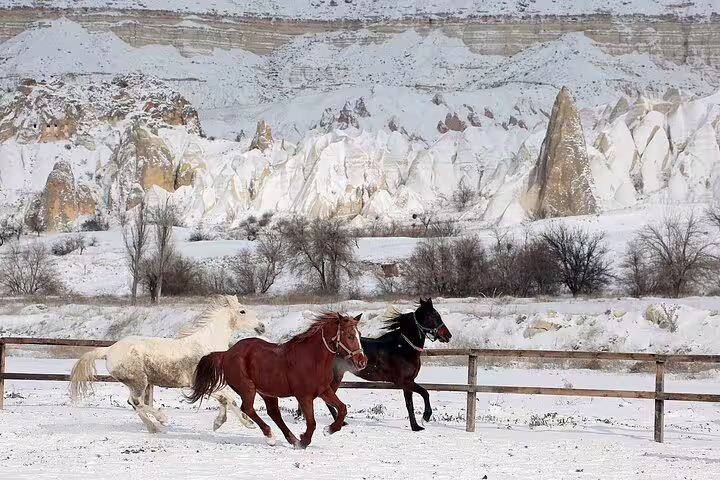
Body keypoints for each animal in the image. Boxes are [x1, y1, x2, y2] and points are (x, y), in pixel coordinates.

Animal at [69, 295, 265, 433]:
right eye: (242, 311)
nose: (262, 326)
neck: (207, 345)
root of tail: (109, 350)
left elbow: (226, 400)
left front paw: (219, 423)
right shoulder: (199, 383)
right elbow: (229, 399)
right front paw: (247, 423)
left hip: (137, 383)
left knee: (133, 403)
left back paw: (154, 428)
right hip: (139, 381)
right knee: (136, 402)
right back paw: (162, 419)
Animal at [185, 312, 367, 449]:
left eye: (359, 335)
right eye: (350, 336)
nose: (362, 361)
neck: (312, 359)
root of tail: (226, 354)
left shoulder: (324, 391)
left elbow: (342, 409)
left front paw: (328, 430)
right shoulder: (304, 396)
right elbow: (312, 423)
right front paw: (304, 441)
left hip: (267, 392)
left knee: (273, 413)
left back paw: (291, 439)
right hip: (248, 388)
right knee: (248, 408)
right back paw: (271, 436)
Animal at [295, 297, 452, 431]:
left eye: (438, 315)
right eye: (431, 316)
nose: (447, 335)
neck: (403, 348)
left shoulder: (408, 382)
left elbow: (409, 405)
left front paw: (415, 427)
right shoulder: (404, 381)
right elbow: (425, 393)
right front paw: (426, 417)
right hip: (335, 377)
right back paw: (340, 423)